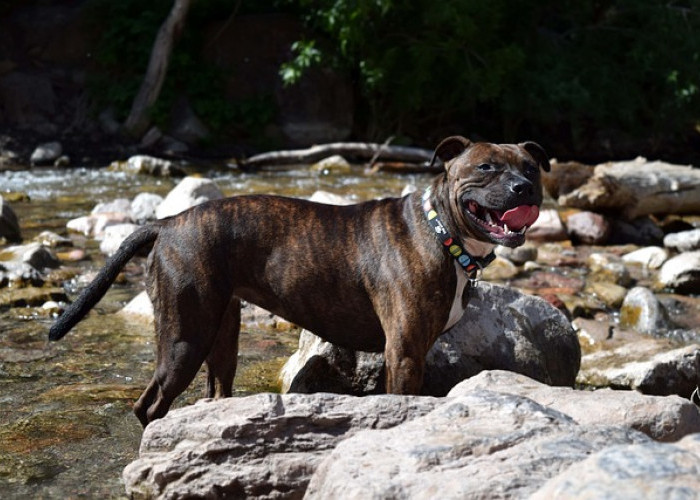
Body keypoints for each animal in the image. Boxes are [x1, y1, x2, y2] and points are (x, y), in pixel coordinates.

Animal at [49, 137, 548, 426]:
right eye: (486, 168)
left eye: (530, 166)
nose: (524, 187)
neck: (440, 230)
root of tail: (168, 222)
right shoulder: (404, 353)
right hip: (183, 339)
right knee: (148, 406)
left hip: (220, 334)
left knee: (215, 388)